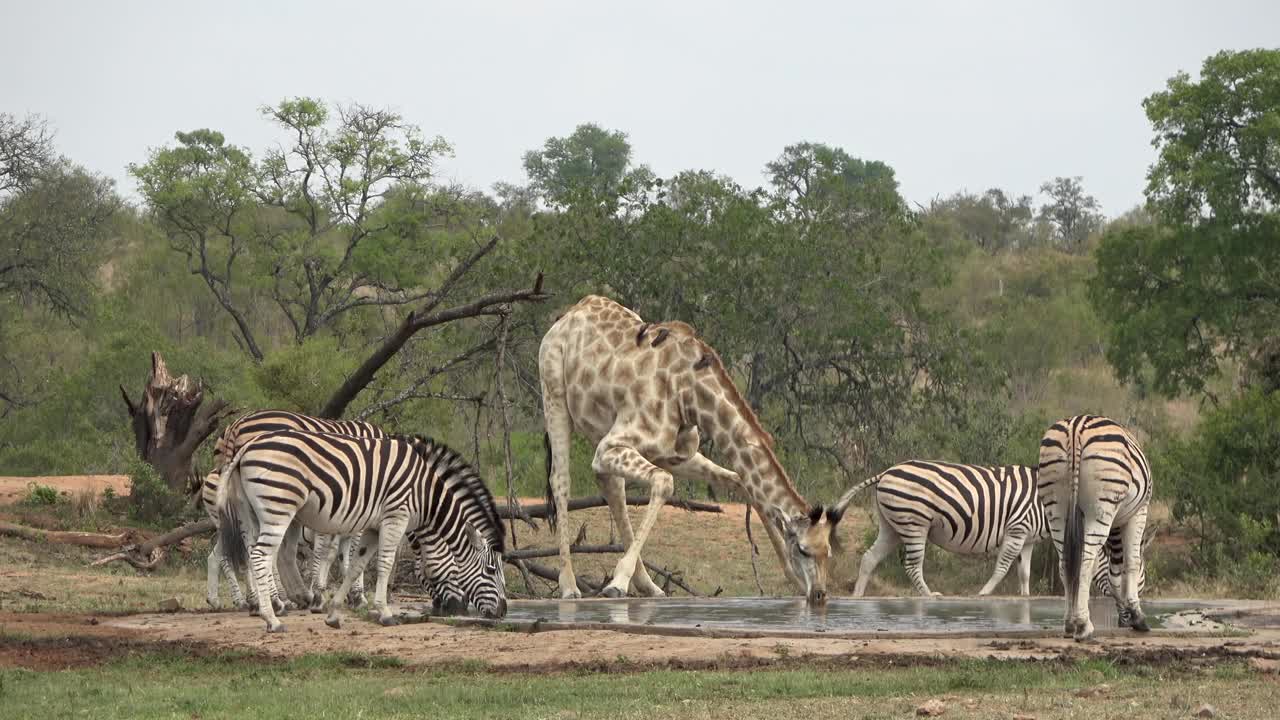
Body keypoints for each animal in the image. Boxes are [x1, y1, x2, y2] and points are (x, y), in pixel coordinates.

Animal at [217, 427, 506, 630]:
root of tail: (247, 446)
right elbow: (384, 564)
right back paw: (272, 618)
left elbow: (357, 564)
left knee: (254, 553)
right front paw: (385, 613)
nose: (503, 611)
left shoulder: (373, 527)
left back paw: (275, 606)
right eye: (491, 570)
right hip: (278, 508)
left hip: (251, 513)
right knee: (261, 556)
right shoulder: (395, 517)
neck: (426, 493)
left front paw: (334, 613)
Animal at [542, 294, 849, 602]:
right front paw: (617, 582)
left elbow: (740, 480)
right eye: (804, 550)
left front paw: (792, 578)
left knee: (611, 485)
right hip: (554, 394)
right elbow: (664, 483)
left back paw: (649, 587)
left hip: (600, 424)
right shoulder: (612, 445)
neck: (689, 395)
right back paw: (570, 586)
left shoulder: (675, 455)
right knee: (561, 480)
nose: (819, 594)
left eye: (828, 552)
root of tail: (568, 313)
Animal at [834, 456, 1146, 597]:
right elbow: (1002, 567)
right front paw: (983, 594)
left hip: (892, 525)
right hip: (914, 523)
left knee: (869, 558)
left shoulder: (1028, 538)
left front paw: (1025, 598)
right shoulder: (1017, 528)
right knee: (912, 565)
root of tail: (887, 471)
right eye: (1137, 574)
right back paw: (929, 595)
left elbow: (1024, 572)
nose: (1134, 601)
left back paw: (858, 596)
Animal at [1034, 415, 1157, 638]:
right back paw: (1084, 627)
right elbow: (1129, 563)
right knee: (1084, 562)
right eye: (1144, 576)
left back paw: (1069, 624)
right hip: (1101, 506)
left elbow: (1112, 571)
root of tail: (1075, 427)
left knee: (1066, 564)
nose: (1122, 624)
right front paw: (1138, 617)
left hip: (1055, 508)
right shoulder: (1137, 512)